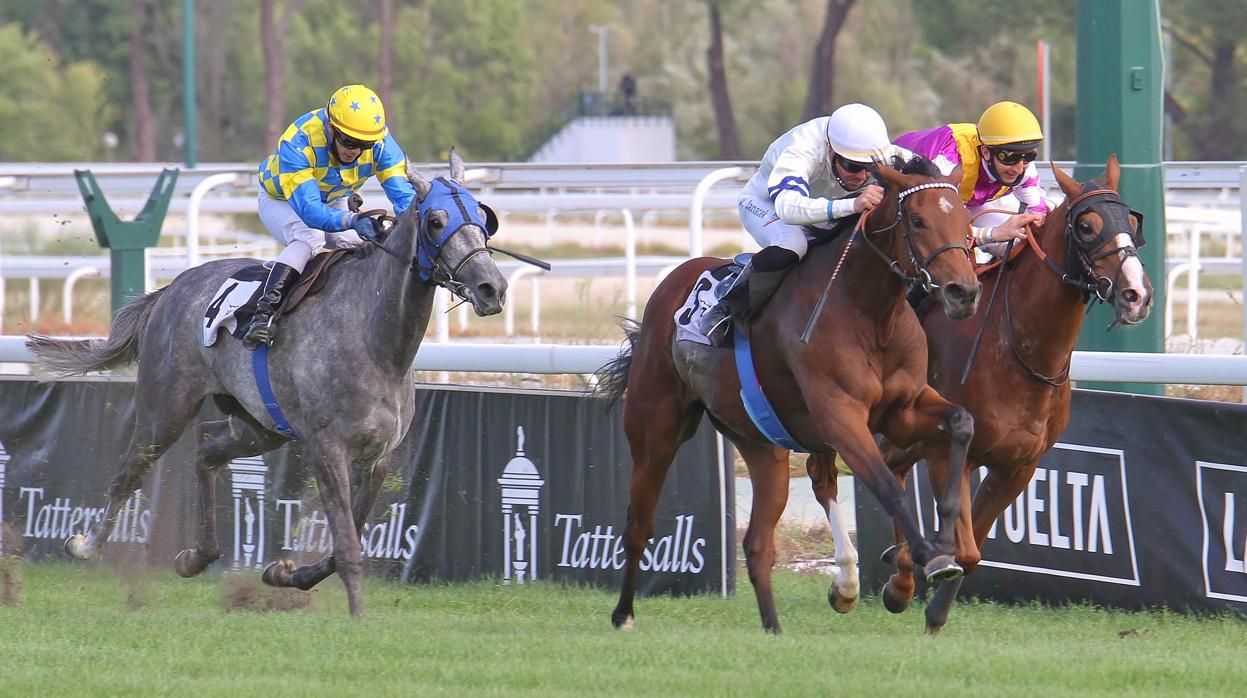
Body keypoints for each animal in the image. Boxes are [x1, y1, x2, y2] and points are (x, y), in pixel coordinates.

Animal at [23, 150, 506, 613]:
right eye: (436, 220)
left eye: (484, 218)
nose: (492, 288)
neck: (375, 339)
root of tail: (172, 287)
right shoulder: (326, 449)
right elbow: (348, 546)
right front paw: (357, 616)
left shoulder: (378, 457)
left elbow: (345, 541)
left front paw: (284, 574)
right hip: (165, 407)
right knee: (131, 468)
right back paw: (85, 546)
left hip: (261, 425)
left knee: (207, 448)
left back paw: (196, 556)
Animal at [593, 157, 982, 633]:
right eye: (918, 220)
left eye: (965, 221)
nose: (964, 293)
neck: (869, 311)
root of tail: (671, 284)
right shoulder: (841, 416)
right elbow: (888, 485)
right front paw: (931, 556)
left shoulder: (903, 409)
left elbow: (961, 422)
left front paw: (945, 540)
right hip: (656, 431)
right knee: (639, 525)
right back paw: (623, 614)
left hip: (761, 446)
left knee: (758, 543)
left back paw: (774, 629)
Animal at [803, 155, 1152, 635]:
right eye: (1087, 226)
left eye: (1133, 221)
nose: (1136, 295)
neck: (1019, 348)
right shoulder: (953, 450)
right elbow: (964, 547)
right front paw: (910, 580)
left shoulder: (1018, 466)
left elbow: (974, 551)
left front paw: (931, 606)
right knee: (836, 471)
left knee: (890, 467)